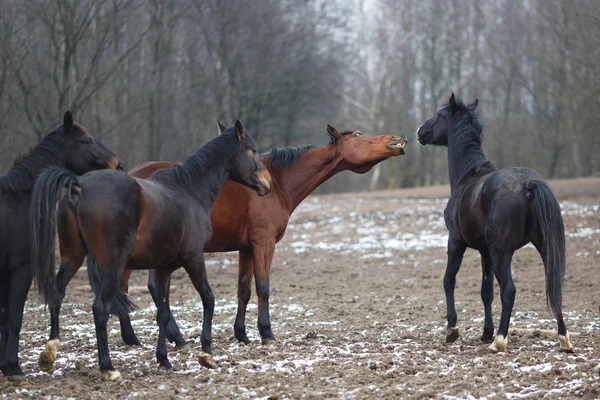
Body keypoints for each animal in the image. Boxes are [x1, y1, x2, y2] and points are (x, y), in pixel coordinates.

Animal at [0, 111, 122, 382]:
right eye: (87, 140)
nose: (118, 164)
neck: (21, 194)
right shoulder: (21, 270)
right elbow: (14, 318)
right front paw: (13, 367)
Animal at [30, 121, 270, 382]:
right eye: (253, 150)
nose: (267, 183)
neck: (189, 190)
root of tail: (79, 186)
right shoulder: (194, 259)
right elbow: (208, 299)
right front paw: (206, 353)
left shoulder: (164, 268)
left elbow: (163, 312)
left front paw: (163, 359)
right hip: (112, 266)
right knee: (100, 309)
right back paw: (108, 367)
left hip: (72, 257)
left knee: (58, 293)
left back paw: (50, 352)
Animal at [88, 122, 408, 346]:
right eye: (358, 134)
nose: (398, 139)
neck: (277, 182)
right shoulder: (264, 244)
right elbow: (263, 287)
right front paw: (266, 332)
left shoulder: (246, 248)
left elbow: (243, 289)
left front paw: (241, 334)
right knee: (128, 288)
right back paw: (144, 337)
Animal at [414, 94, 576, 354]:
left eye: (439, 115)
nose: (420, 131)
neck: (468, 177)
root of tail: (529, 183)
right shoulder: (485, 252)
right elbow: (486, 291)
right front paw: (485, 332)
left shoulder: (456, 242)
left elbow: (449, 280)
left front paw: (452, 329)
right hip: (542, 247)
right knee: (553, 285)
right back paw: (563, 338)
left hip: (502, 252)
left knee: (509, 289)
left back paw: (500, 340)